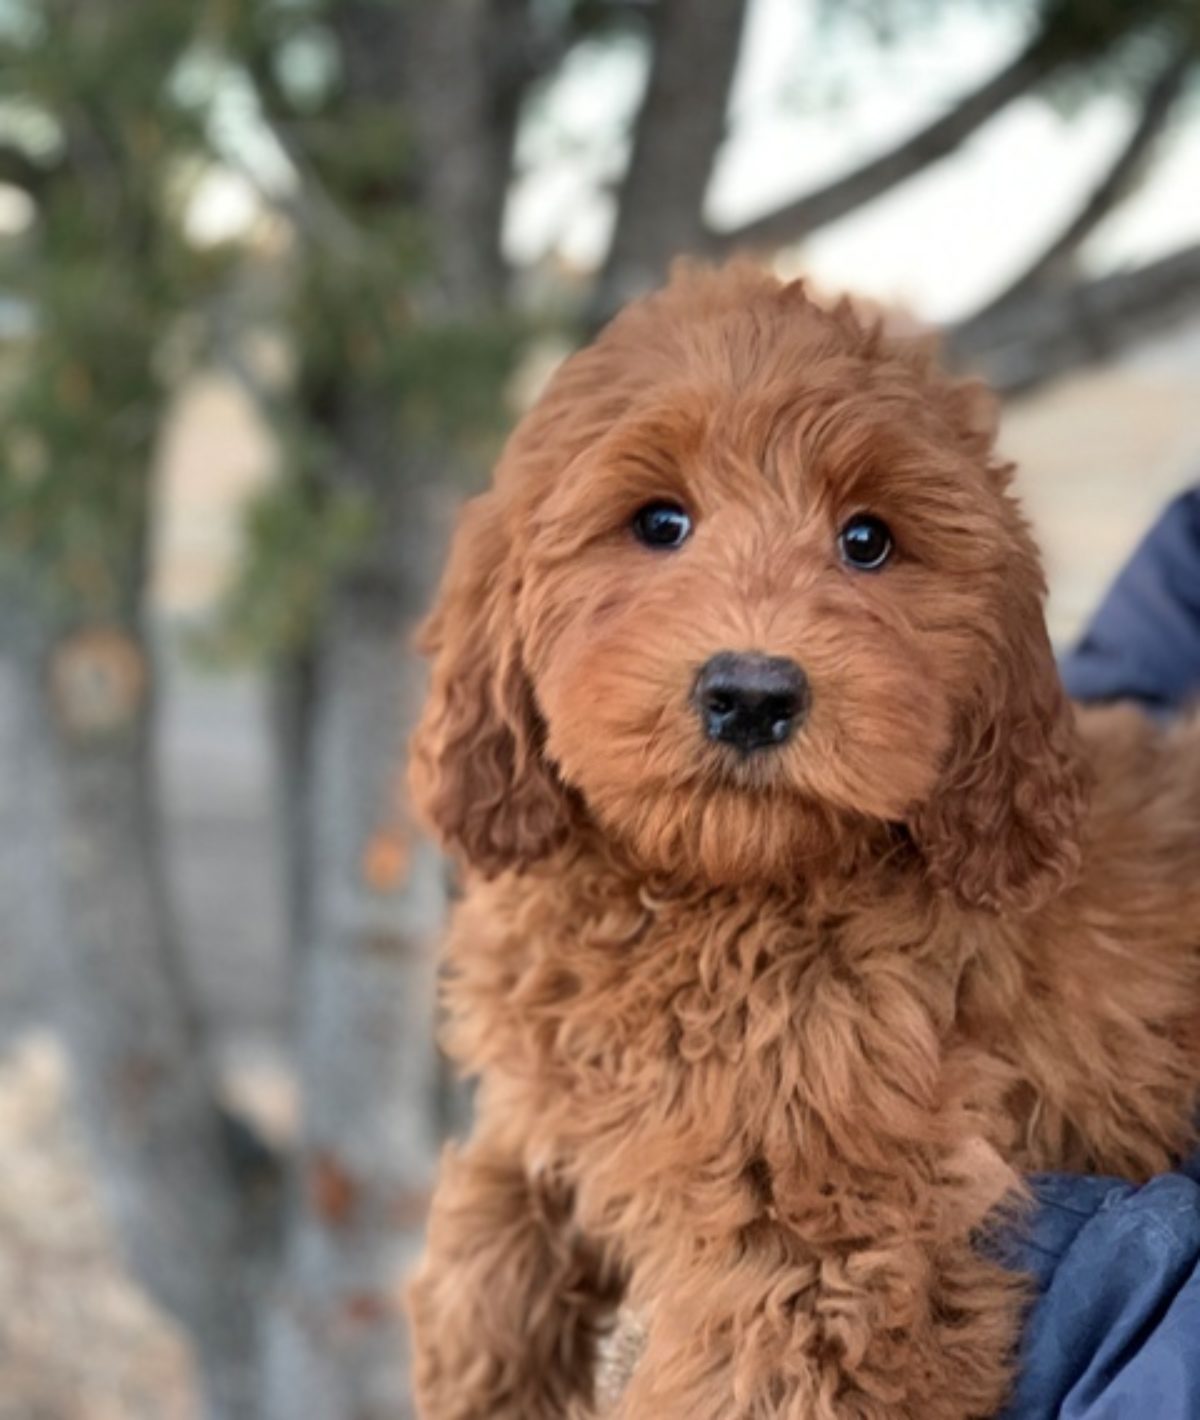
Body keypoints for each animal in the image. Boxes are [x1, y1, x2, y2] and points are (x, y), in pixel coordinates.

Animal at [406, 266, 1198, 1420]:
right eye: (659, 522)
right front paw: (479, 1360)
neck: (709, 894)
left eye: (867, 541)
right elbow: (492, 1205)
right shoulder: (559, 1098)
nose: (750, 694)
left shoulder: (816, 1253)